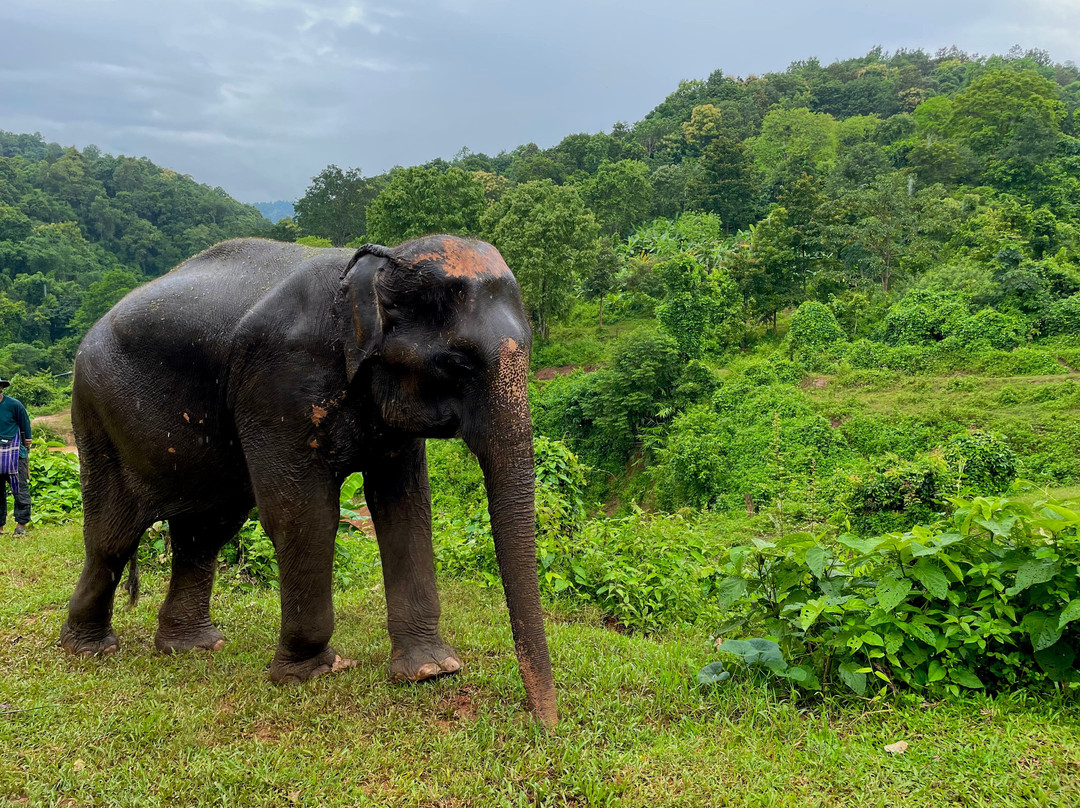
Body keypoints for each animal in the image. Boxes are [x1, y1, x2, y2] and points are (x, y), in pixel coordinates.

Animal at [59, 235, 557, 726]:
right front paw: (313, 672)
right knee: (114, 535)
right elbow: (304, 513)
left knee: (206, 531)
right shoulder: (278, 381)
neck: (375, 268)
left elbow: (405, 506)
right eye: (456, 363)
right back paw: (90, 650)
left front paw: (431, 670)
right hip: (97, 412)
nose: (544, 725)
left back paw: (193, 647)